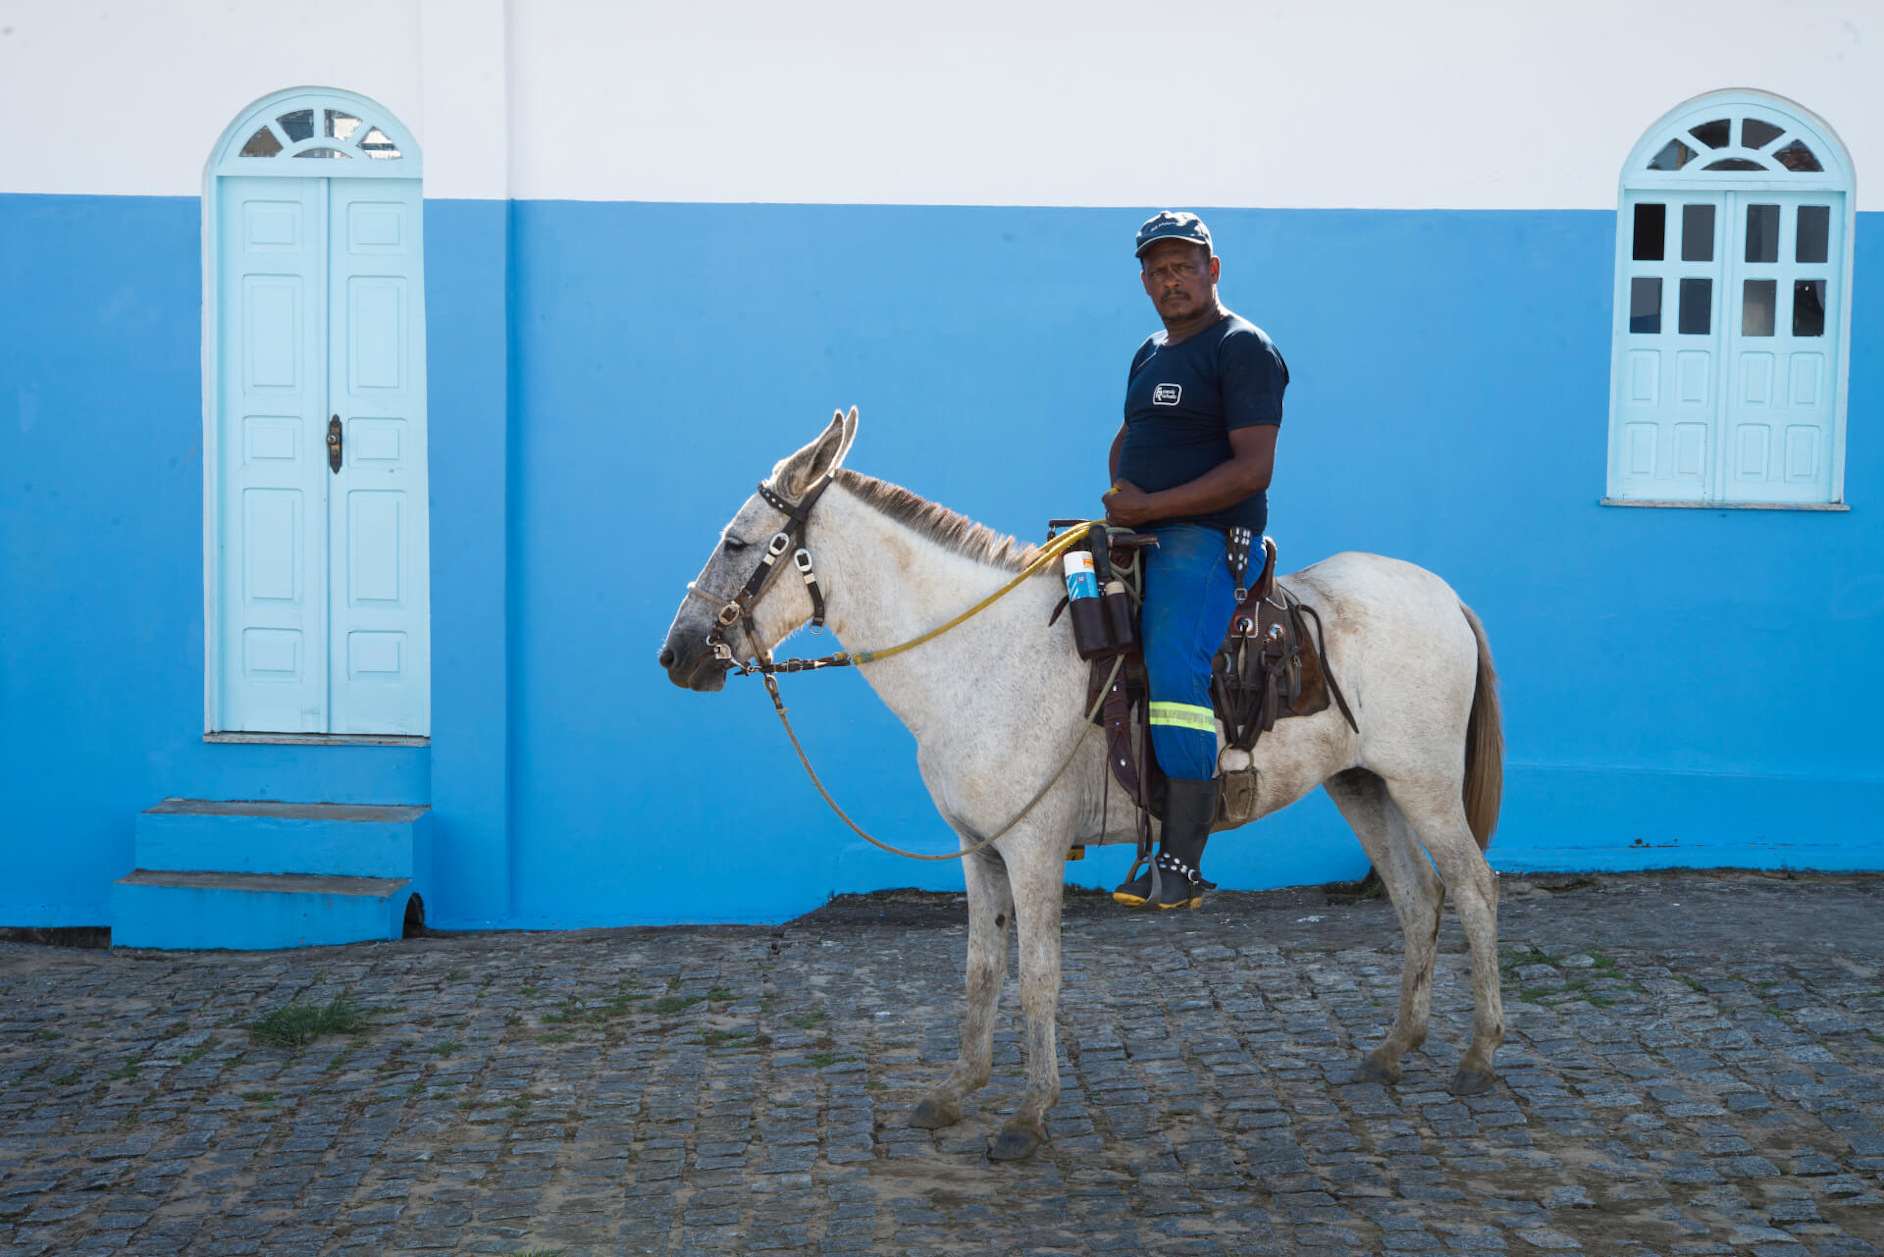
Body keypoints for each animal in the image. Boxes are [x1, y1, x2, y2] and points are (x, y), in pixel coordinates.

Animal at [663, 408, 1499, 1168]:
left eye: (736, 541)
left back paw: (1479, 1055)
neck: (977, 655)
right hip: (1364, 784)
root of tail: (1447, 598)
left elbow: (1038, 976)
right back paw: (1395, 1048)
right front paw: (957, 1090)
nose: (676, 654)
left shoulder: (1033, 848)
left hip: (1424, 783)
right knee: (1418, 896)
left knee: (1473, 889)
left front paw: (1029, 1113)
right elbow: (980, 969)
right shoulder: (978, 847)